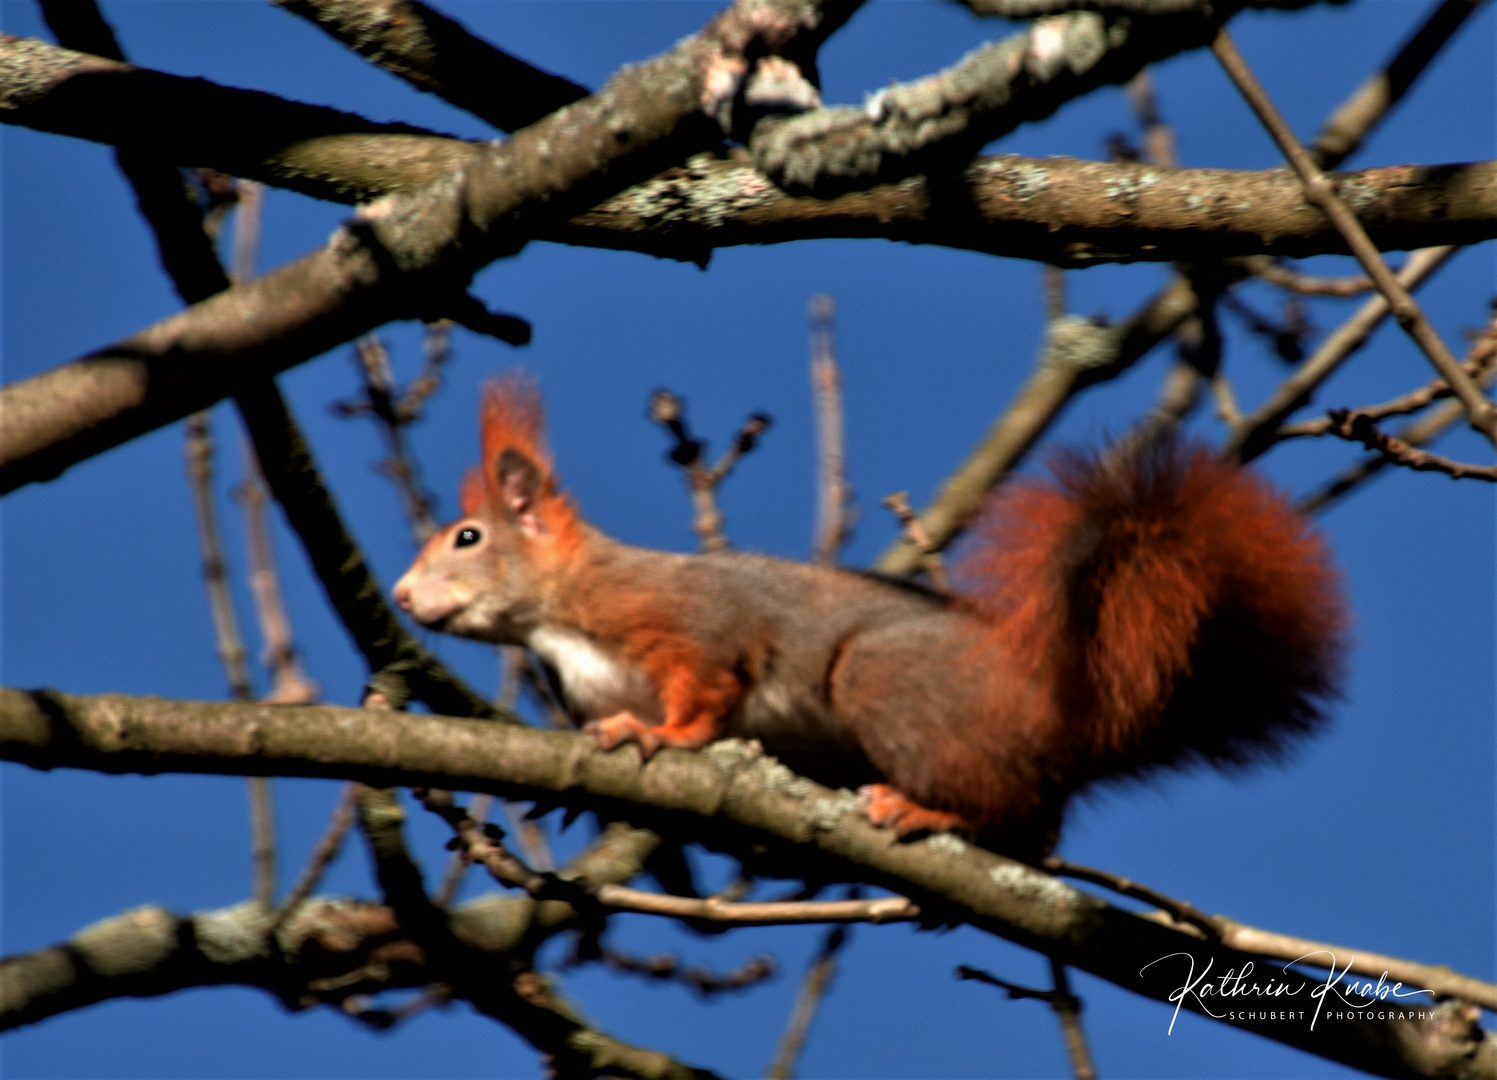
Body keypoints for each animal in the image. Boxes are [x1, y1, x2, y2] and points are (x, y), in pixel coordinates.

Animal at [392, 374, 1353, 856]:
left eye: (468, 536)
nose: (401, 597)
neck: (557, 620)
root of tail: (1076, 704)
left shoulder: (690, 622)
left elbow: (707, 688)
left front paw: (659, 736)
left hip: (889, 679)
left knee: (1004, 803)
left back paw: (925, 815)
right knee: (1040, 828)